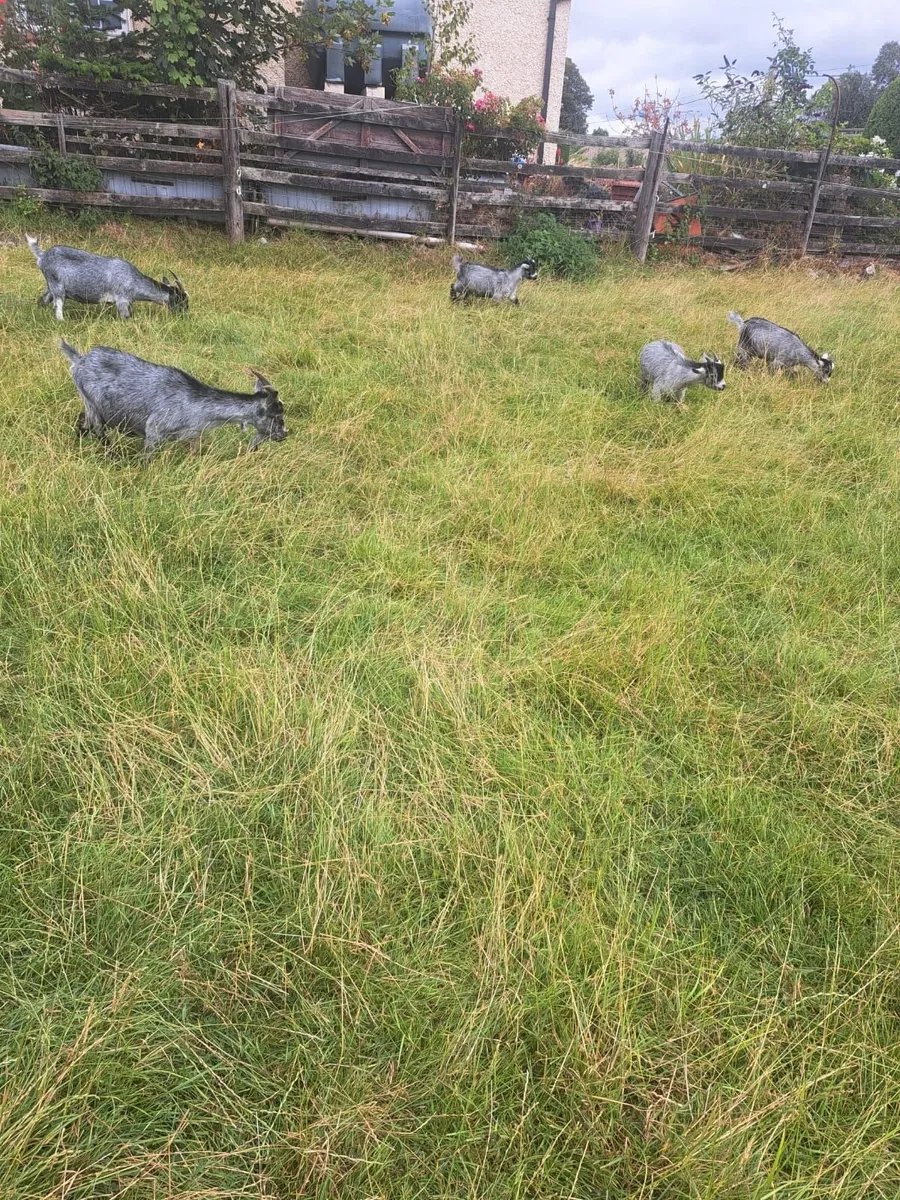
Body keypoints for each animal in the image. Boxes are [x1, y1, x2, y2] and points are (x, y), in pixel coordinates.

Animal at [27, 235, 188, 321]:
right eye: (181, 300)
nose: (185, 315)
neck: (134, 280)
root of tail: (42, 256)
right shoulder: (122, 301)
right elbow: (127, 318)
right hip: (57, 287)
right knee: (57, 307)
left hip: (50, 287)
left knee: (42, 301)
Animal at [59, 342, 286, 458]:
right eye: (276, 415)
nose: (284, 434)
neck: (198, 405)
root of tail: (80, 359)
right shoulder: (154, 432)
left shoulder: (191, 437)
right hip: (92, 405)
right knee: (98, 431)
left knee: (82, 423)